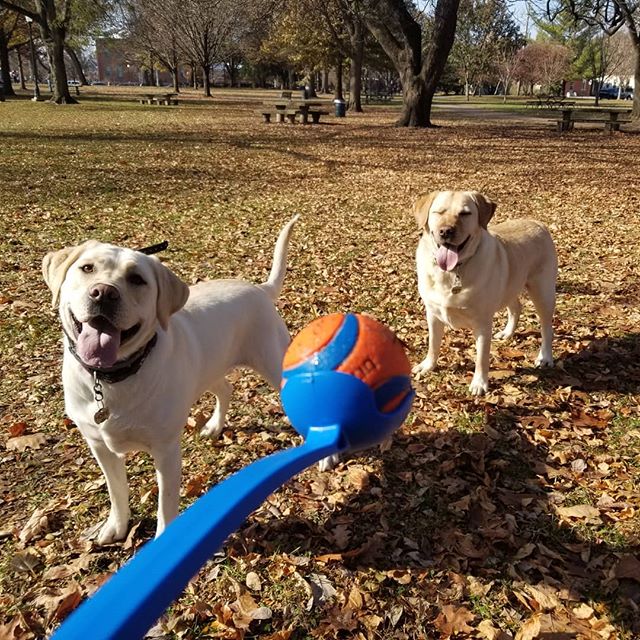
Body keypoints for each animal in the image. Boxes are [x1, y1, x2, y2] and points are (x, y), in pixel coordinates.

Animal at [42, 218, 298, 544]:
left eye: (137, 279)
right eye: (87, 268)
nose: (103, 293)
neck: (111, 378)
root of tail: (259, 289)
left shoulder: (165, 451)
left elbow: (165, 504)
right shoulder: (99, 445)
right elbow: (116, 490)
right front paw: (116, 526)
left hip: (275, 365)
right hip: (207, 368)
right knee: (225, 388)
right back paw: (214, 426)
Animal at [412, 190, 556, 396]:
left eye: (465, 213)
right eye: (438, 212)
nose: (446, 231)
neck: (453, 272)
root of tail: (538, 223)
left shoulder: (482, 323)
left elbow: (481, 357)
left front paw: (479, 383)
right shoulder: (433, 314)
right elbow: (433, 343)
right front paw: (428, 365)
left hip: (542, 292)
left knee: (546, 328)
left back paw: (545, 357)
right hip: (509, 287)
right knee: (516, 307)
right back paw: (507, 333)